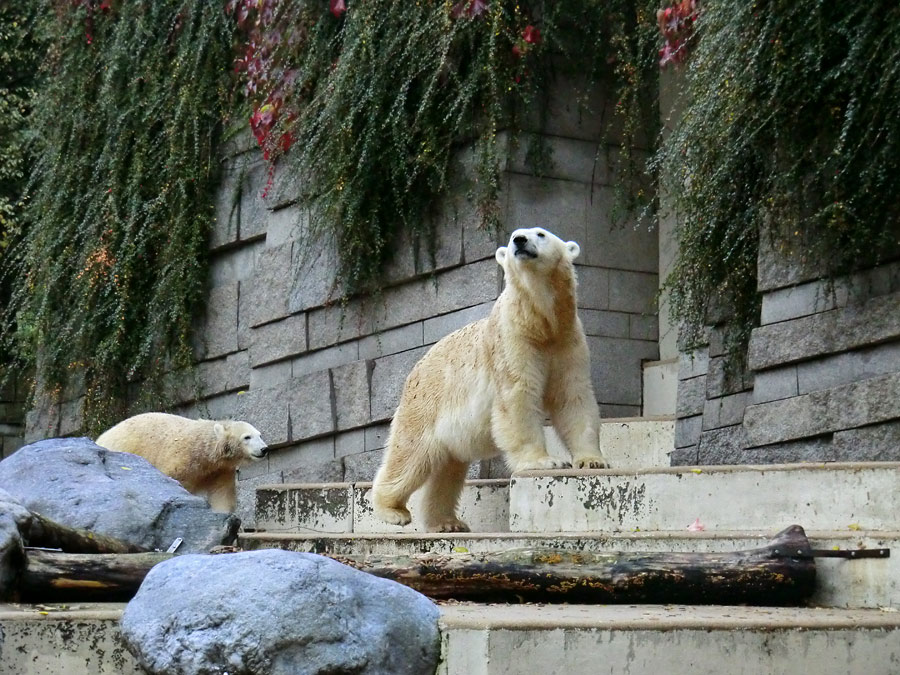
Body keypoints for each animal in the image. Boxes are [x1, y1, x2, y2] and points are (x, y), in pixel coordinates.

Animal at [98, 412, 268, 512]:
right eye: (247, 437)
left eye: (260, 435)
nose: (264, 449)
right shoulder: (181, 459)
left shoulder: (220, 470)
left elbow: (222, 494)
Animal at [370, 228, 608, 532]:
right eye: (513, 236)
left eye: (541, 234)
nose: (520, 240)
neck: (540, 322)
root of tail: (414, 372)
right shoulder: (512, 340)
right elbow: (518, 396)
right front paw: (546, 461)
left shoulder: (567, 340)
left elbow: (572, 396)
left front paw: (592, 461)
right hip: (425, 405)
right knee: (411, 455)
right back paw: (393, 511)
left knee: (447, 469)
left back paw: (447, 522)